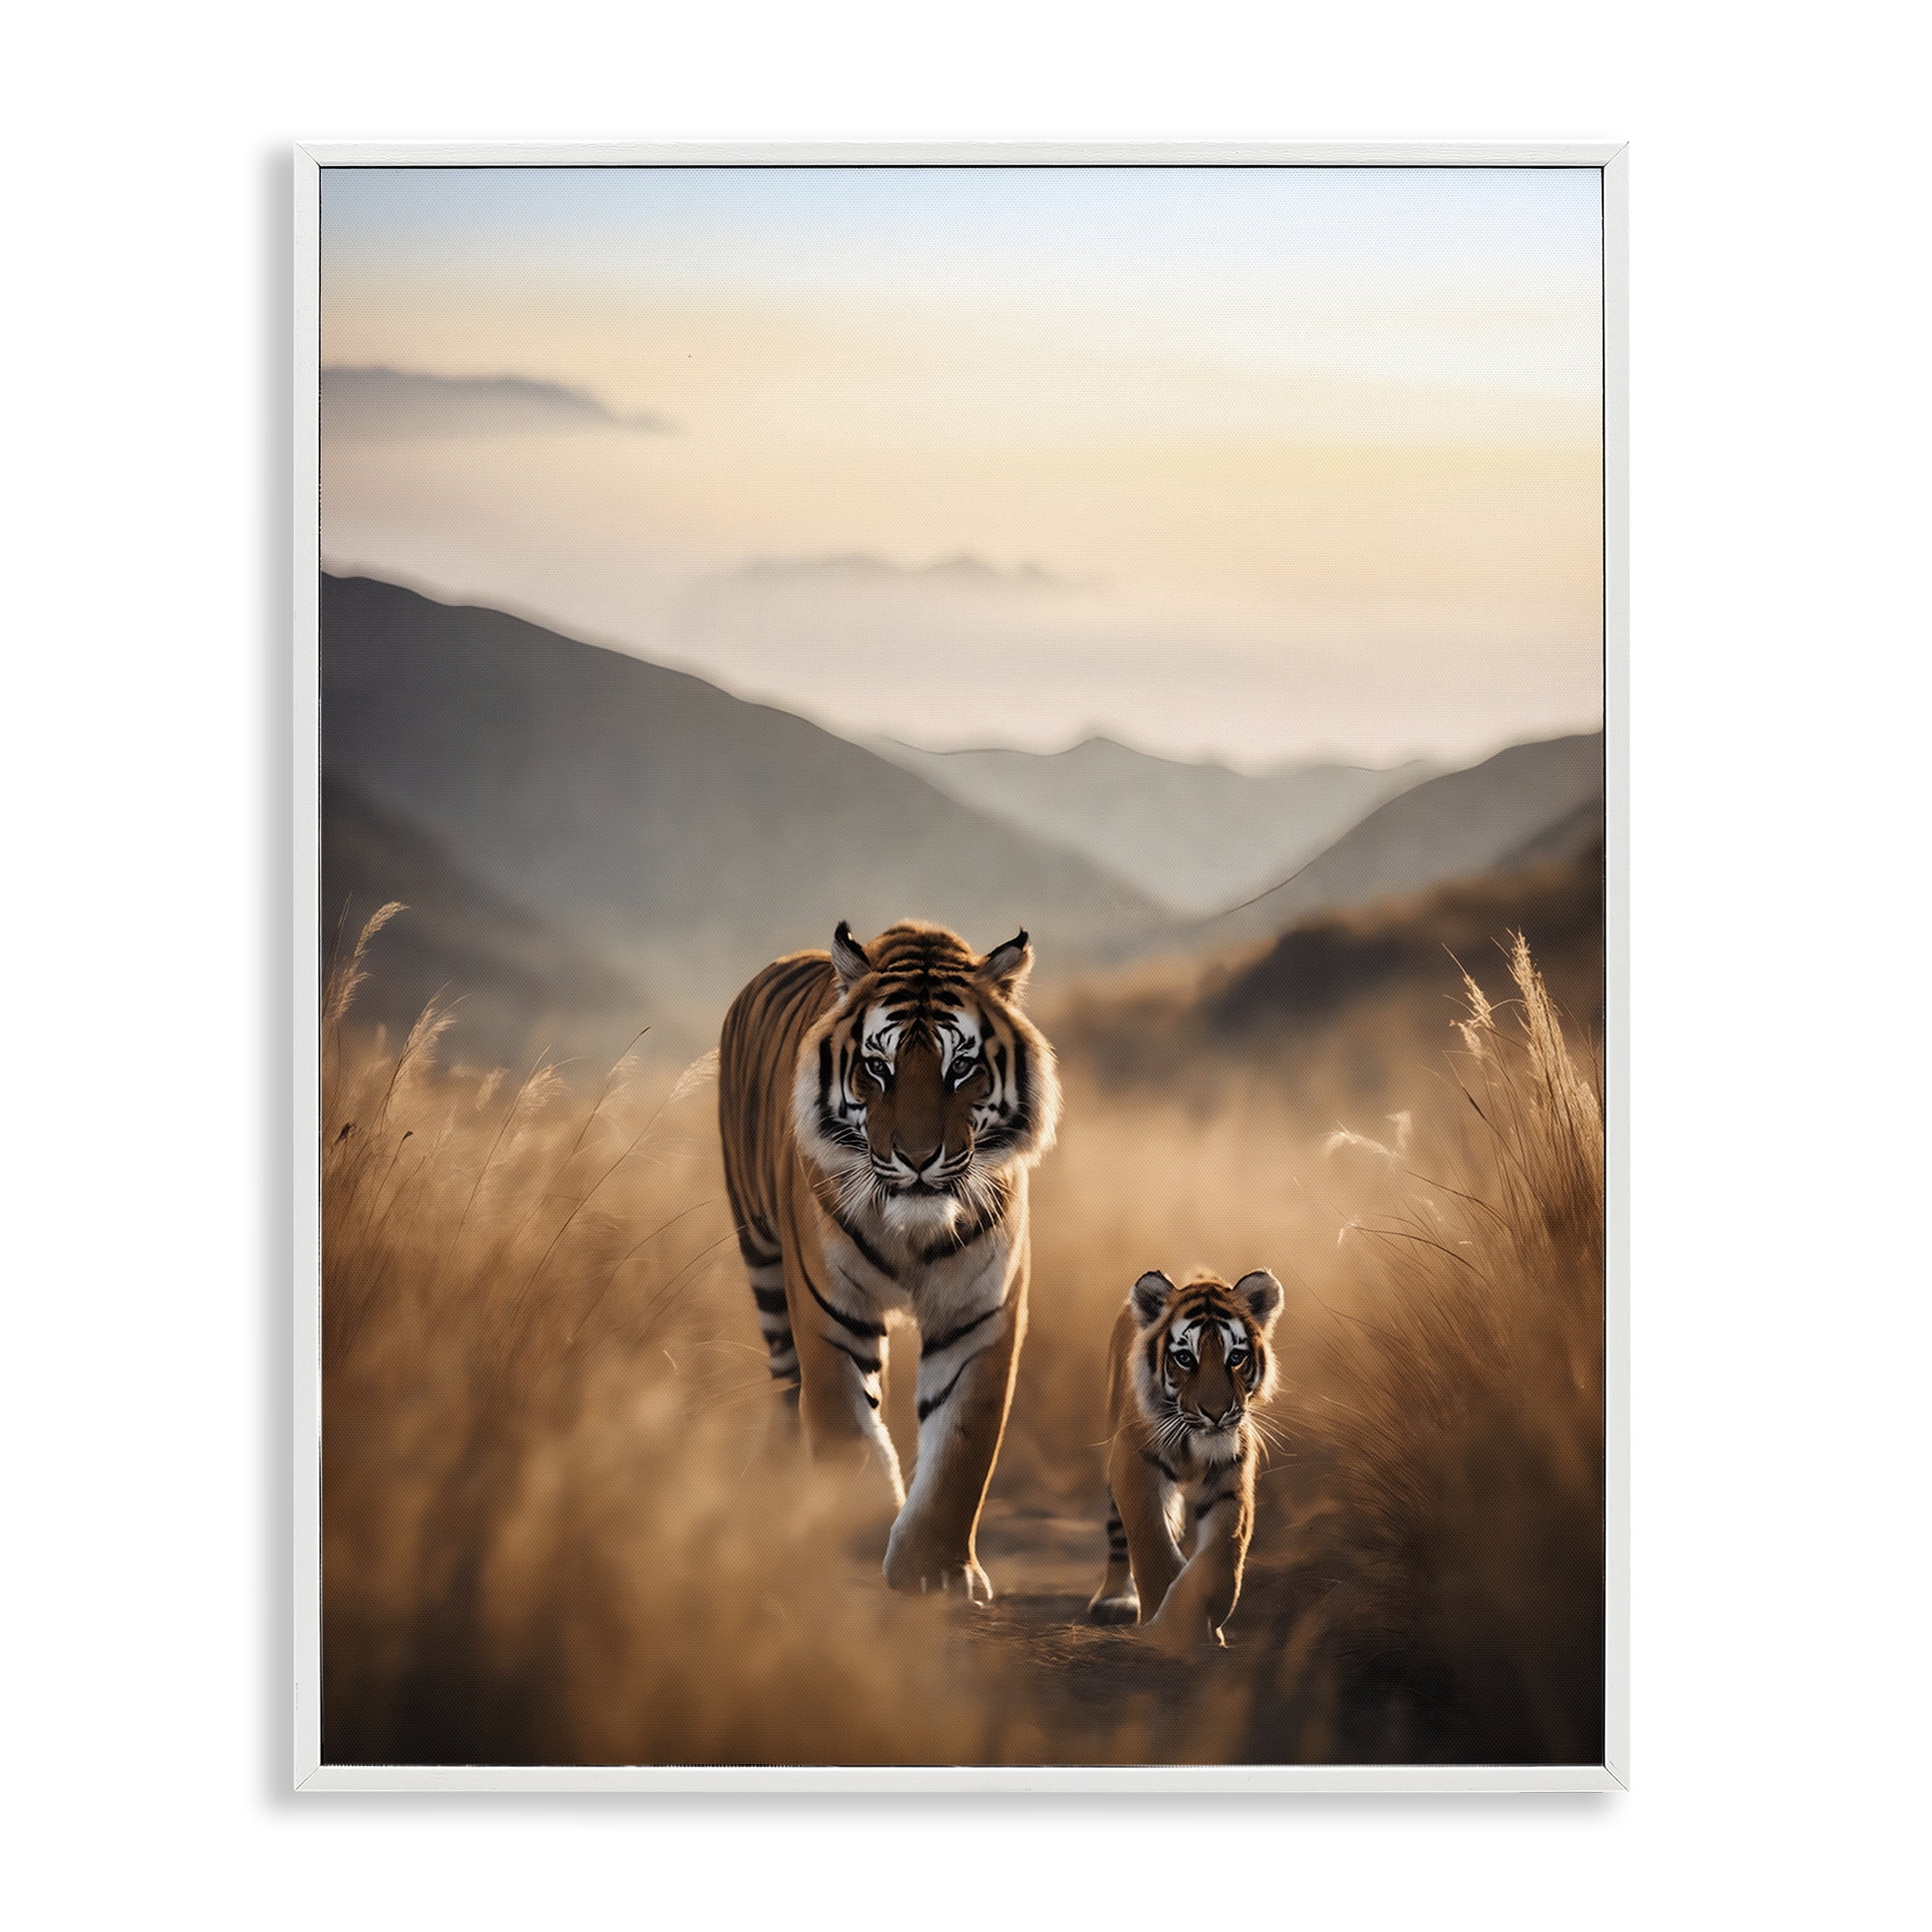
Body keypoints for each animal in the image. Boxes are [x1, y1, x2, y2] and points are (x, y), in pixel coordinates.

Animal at [718, 918, 1061, 1601]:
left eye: (962, 1067)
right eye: (877, 1068)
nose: (919, 1157)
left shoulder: (979, 1318)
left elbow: (962, 1449)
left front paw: (935, 1569)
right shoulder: (831, 1312)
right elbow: (846, 1430)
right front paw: (854, 1541)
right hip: (762, 1258)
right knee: (786, 1386)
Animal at [1088, 1266, 1284, 1647]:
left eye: (1235, 1357)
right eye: (1185, 1359)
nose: (1217, 1413)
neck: (1193, 1447)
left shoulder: (1231, 1486)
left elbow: (1219, 1559)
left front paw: (1204, 1622)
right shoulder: (1135, 1471)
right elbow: (1155, 1551)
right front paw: (1166, 1628)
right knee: (1118, 1536)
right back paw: (1114, 1600)